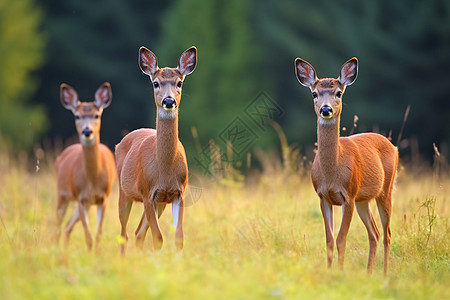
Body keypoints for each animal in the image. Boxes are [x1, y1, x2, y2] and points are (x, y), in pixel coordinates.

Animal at [55, 82, 116, 251]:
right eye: (77, 116)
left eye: (97, 115)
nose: (87, 131)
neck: (93, 180)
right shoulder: (80, 197)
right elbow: (88, 236)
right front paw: (90, 255)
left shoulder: (103, 197)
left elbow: (98, 234)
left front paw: (97, 254)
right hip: (62, 194)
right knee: (58, 226)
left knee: (67, 226)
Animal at [115, 45, 196, 254]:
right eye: (155, 83)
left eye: (179, 82)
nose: (169, 101)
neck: (164, 170)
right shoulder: (147, 193)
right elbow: (158, 237)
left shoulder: (178, 193)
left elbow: (179, 237)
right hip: (124, 191)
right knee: (124, 234)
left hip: (159, 203)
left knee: (138, 232)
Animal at [296, 56, 398, 274]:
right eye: (314, 93)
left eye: (339, 93)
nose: (326, 109)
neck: (331, 174)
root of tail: (393, 146)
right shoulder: (323, 197)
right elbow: (329, 239)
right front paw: (329, 271)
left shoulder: (348, 195)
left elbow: (341, 239)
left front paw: (341, 272)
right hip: (363, 199)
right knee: (375, 233)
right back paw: (368, 273)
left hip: (385, 190)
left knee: (387, 234)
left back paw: (385, 273)